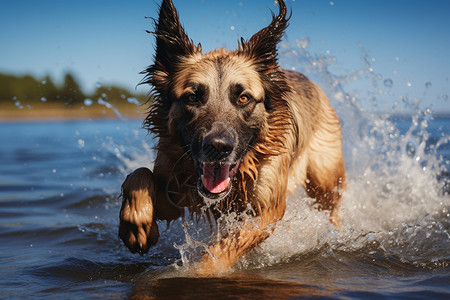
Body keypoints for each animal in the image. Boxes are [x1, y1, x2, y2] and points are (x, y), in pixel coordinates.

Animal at [118, 0, 344, 274]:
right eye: (192, 97)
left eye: (243, 98)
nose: (218, 147)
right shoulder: (175, 193)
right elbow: (139, 175)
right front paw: (136, 225)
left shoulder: (267, 211)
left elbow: (220, 252)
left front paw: (197, 272)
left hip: (325, 179)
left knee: (332, 207)